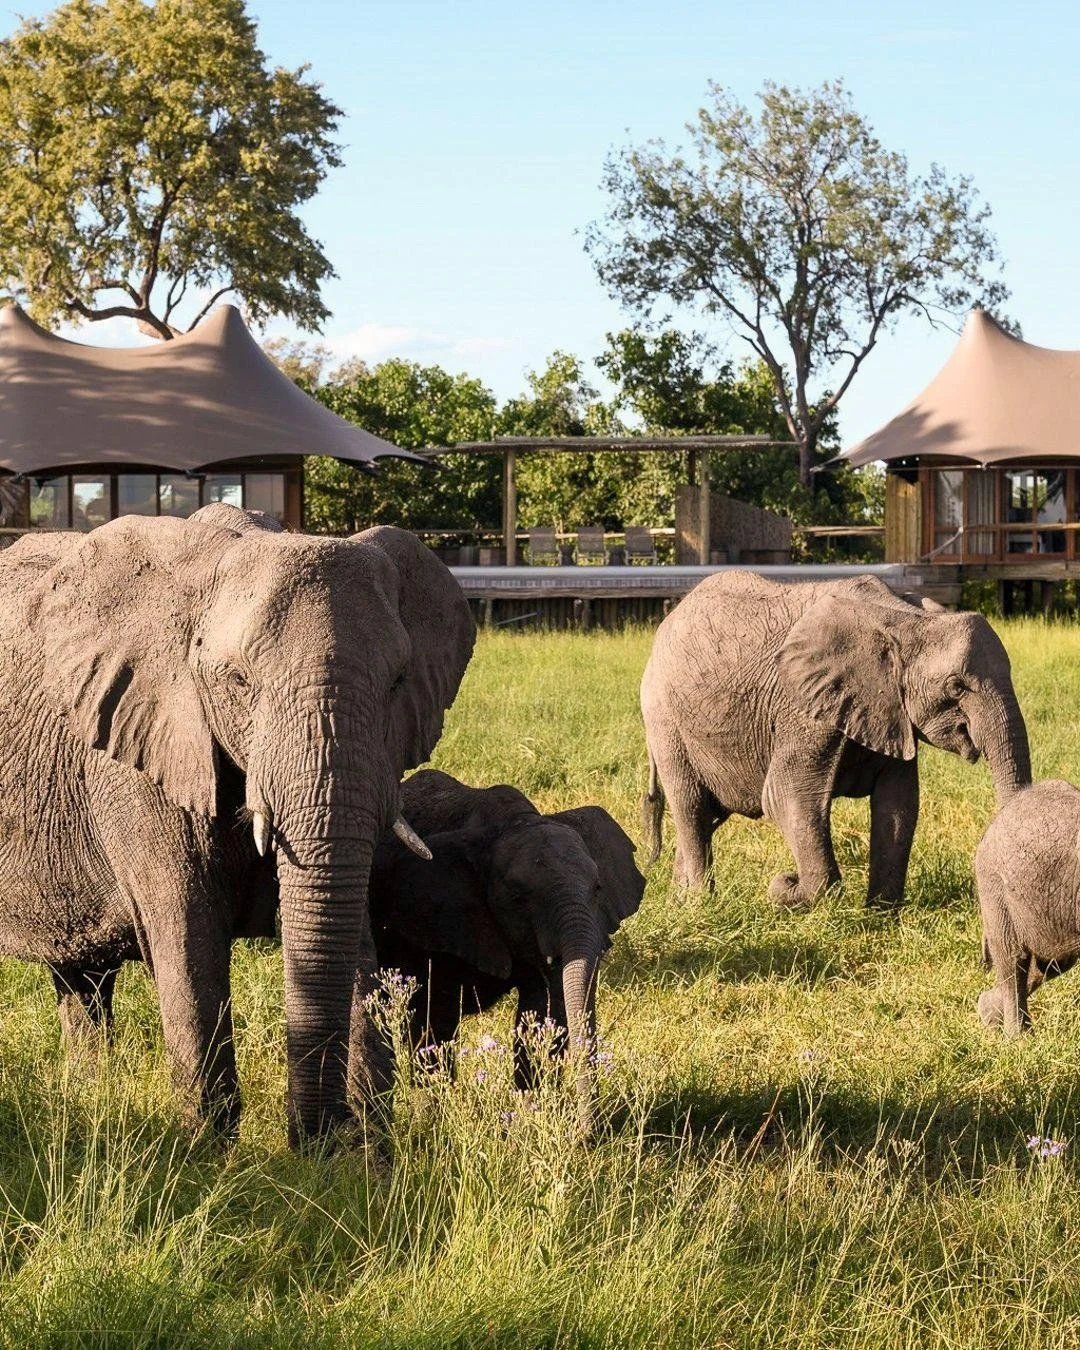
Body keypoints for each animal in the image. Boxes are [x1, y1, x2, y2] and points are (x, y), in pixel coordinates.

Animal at [0, 504, 474, 1143]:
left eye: (398, 681)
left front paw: (366, 1149)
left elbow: (347, 927)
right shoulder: (139, 760)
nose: (310, 1138)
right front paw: (208, 1148)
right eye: (237, 682)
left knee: (81, 979)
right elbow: (188, 937)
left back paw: (89, 1092)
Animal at [365, 769, 645, 1110]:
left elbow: (539, 1012)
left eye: (598, 888)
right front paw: (434, 1109)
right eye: (519, 897)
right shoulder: (433, 920)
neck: (509, 823)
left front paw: (533, 1110)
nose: (588, 1127)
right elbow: (435, 1016)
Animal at [640, 573, 1030, 908]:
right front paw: (785, 890)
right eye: (956, 687)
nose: (785, 878)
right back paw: (700, 903)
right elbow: (786, 796)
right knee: (690, 806)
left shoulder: (887, 707)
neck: (906, 619)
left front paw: (881, 914)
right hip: (664, 721)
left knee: (706, 816)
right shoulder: (802, 705)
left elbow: (899, 804)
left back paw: (678, 902)